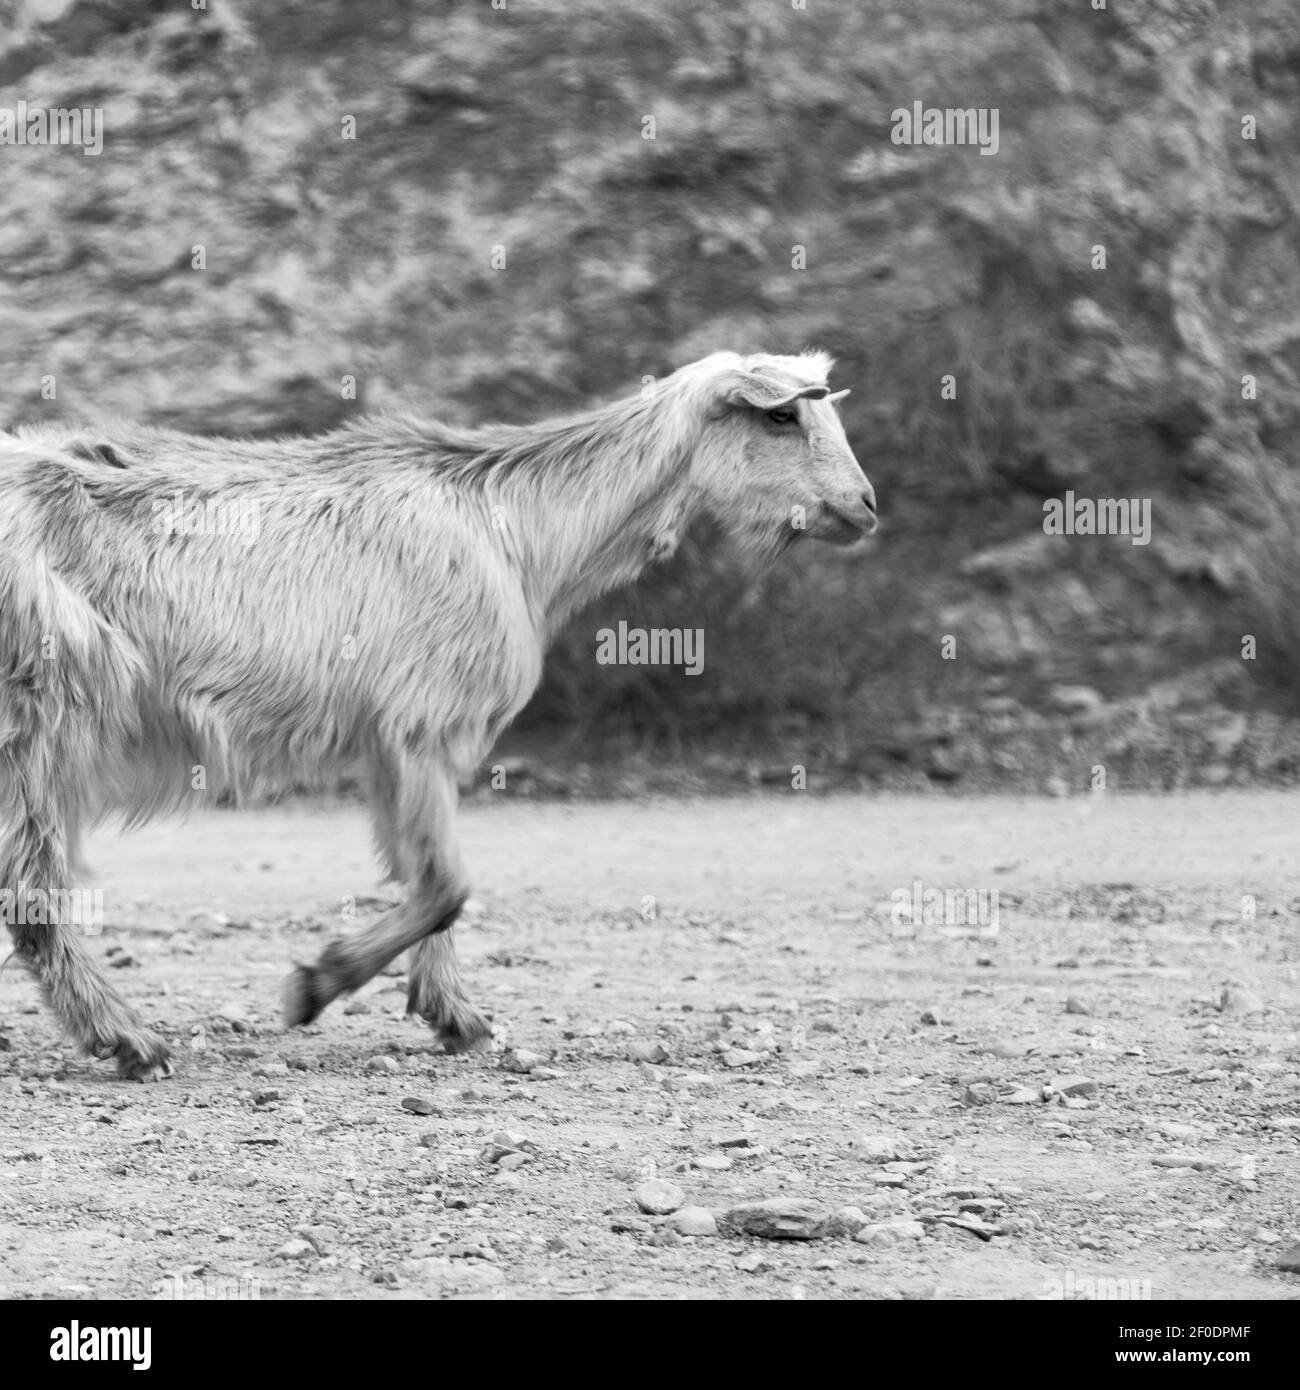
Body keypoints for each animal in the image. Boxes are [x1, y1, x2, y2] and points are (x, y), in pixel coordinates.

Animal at [0, 351, 877, 1079]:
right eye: (781, 417)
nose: (865, 507)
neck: (512, 525)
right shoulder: (422, 721)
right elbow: (447, 884)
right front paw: (315, 985)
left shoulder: (398, 743)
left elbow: (427, 874)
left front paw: (455, 1016)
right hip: (41, 715)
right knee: (32, 894)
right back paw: (131, 1041)